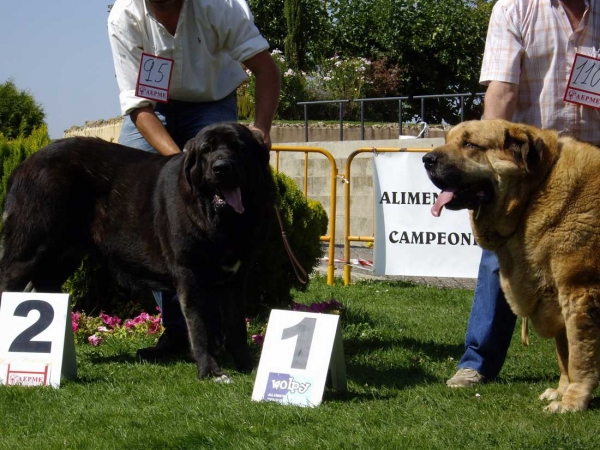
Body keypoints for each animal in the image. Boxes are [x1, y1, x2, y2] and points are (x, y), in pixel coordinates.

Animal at [0, 120, 276, 380]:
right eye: (207, 150)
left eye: (238, 147)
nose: (221, 167)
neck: (223, 222)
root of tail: (24, 164)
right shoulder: (190, 275)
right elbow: (200, 327)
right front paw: (211, 371)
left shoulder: (235, 278)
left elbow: (236, 326)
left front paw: (247, 366)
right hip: (28, 251)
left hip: (60, 257)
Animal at [422, 118, 600, 412]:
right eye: (447, 140)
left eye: (470, 144)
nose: (426, 159)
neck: (535, 193)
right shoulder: (557, 295)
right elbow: (564, 353)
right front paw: (561, 391)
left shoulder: (578, 292)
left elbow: (578, 357)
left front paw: (572, 401)